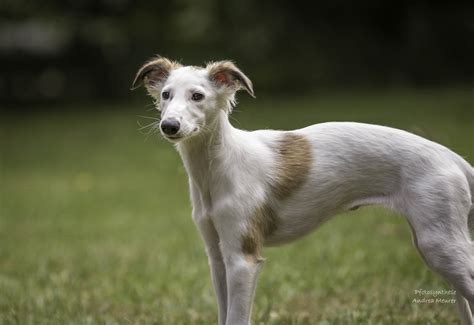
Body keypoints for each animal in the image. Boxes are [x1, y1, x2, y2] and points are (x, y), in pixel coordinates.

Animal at [132, 56, 474, 324]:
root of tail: (452, 157)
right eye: (166, 94)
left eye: (198, 96)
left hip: (440, 244)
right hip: (434, 243)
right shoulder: (218, 257)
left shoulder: (243, 258)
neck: (219, 166)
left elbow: (237, 318)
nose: (169, 126)